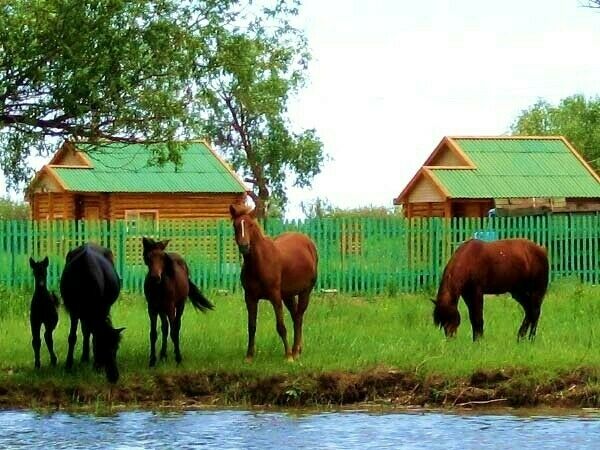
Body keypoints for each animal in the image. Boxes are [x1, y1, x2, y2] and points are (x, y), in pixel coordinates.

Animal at [59, 243, 124, 384]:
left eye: (116, 348)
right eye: (101, 347)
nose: (114, 377)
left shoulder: (104, 307)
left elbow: (90, 333)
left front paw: (95, 366)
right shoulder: (74, 310)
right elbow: (73, 337)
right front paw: (68, 365)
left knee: (87, 330)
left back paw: (85, 358)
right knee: (86, 330)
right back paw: (84, 358)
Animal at [142, 237, 214, 368]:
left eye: (162, 257)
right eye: (148, 257)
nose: (155, 277)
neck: (159, 288)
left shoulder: (171, 308)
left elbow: (174, 331)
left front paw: (178, 358)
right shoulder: (152, 309)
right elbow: (153, 334)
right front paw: (152, 361)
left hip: (180, 306)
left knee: (176, 326)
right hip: (162, 309)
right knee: (165, 327)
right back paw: (163, 355)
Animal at [229, 204, 318, 362]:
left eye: (251, 225)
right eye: (235, 225)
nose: (244, 247)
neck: (259, 262)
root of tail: (309, 243)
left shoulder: (275, 296)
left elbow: (281, 326)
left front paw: (288, 356)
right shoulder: (250, 298)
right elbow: (251, 326)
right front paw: (249, 356)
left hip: (305, 292)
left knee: (299, 317)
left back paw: (295, 352)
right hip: (288, 295)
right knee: (296, 316)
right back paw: (297, 349)